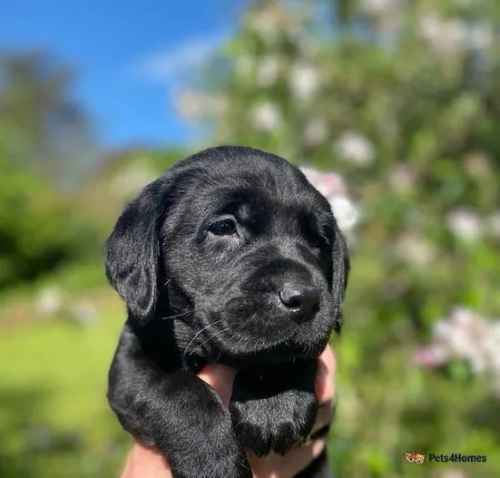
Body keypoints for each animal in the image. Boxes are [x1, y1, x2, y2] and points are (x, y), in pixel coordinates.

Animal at [105, 147, 348, 478]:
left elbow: (282, 354)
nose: (305, 298)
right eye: (223, 227)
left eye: (318, 241)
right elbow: (175, 390)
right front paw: (213, 461)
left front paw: (272, 403)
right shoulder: (129, 363)